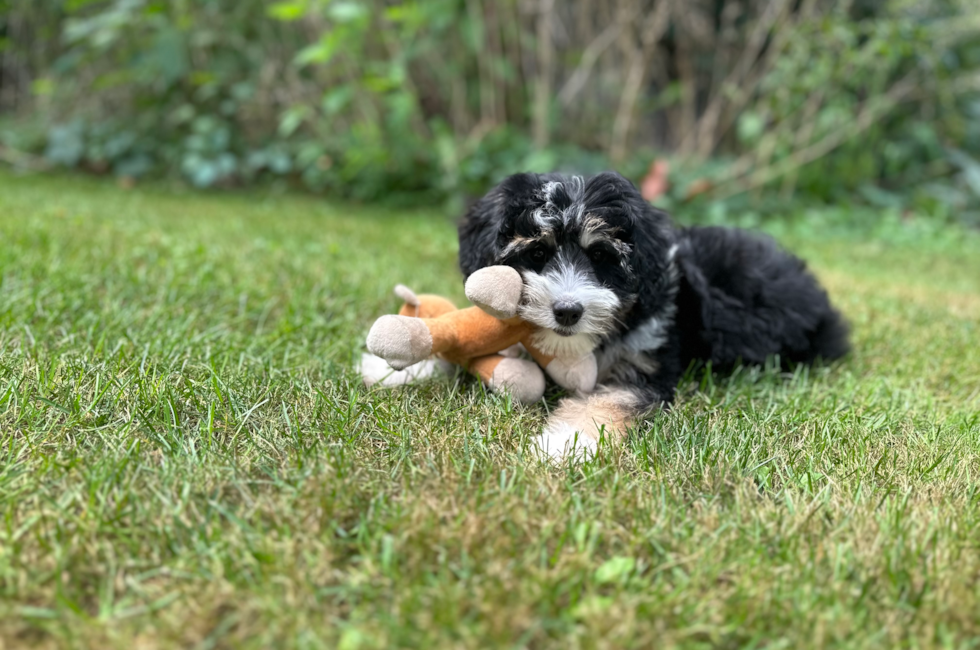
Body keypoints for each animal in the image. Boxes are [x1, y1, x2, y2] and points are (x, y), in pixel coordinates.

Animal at [460, 170, 848, 458]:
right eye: (538, 253)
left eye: (600, 256)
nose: (567, 312)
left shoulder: (645, 366)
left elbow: (610, 400)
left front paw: (565, 444)